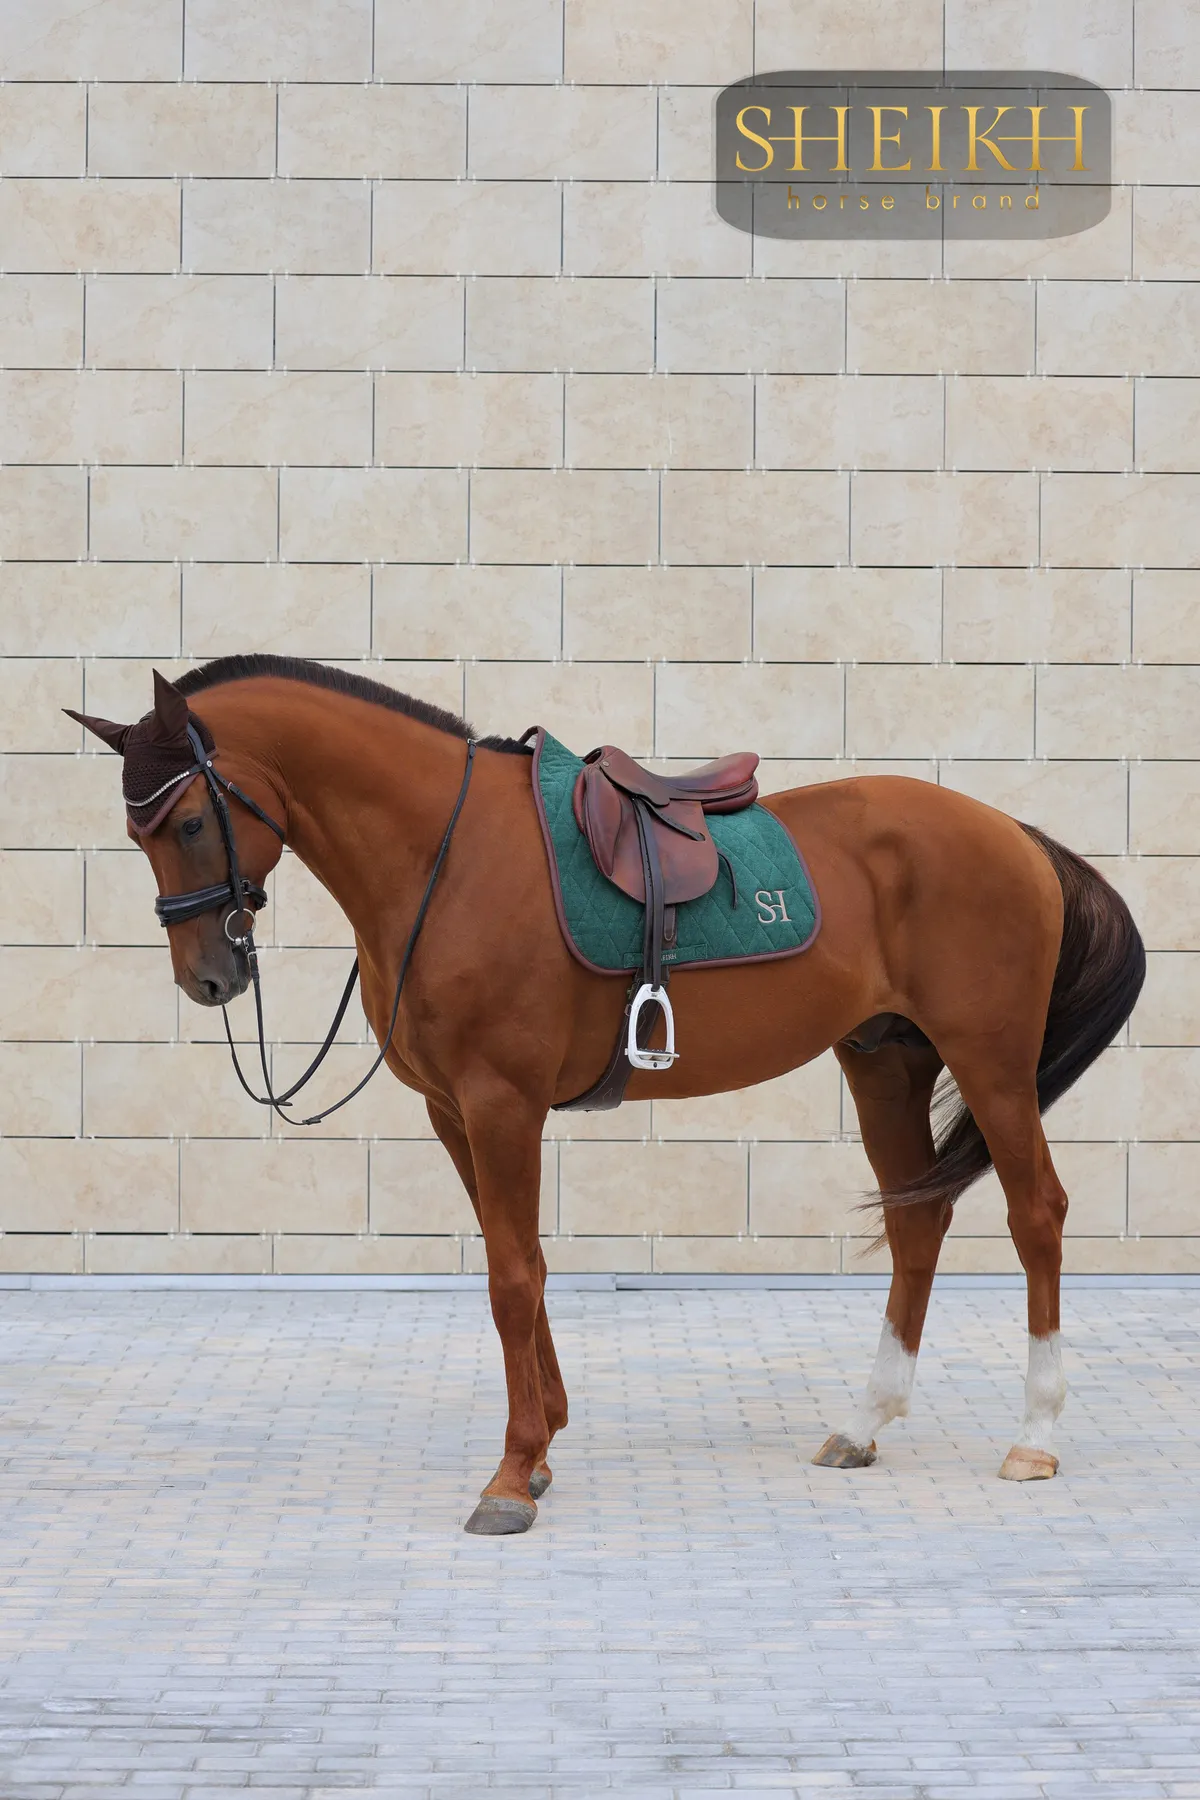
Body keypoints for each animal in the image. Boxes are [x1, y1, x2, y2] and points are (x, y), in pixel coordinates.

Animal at [67, 656, 1145, 1534]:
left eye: (191, 820)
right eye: (133, 830)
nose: (208, 979)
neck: (444, 856)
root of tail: (1015, 834)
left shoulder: (501, 1103)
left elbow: (510, 1280)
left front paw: (509, 1479)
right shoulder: (453, 1111)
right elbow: (522, 1263)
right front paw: (542, 1449)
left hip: (991, 1062)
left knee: (1037, 1214)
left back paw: (1035, 1436)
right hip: (883, 1060)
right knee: (918, 1221)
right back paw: (861, 1424)